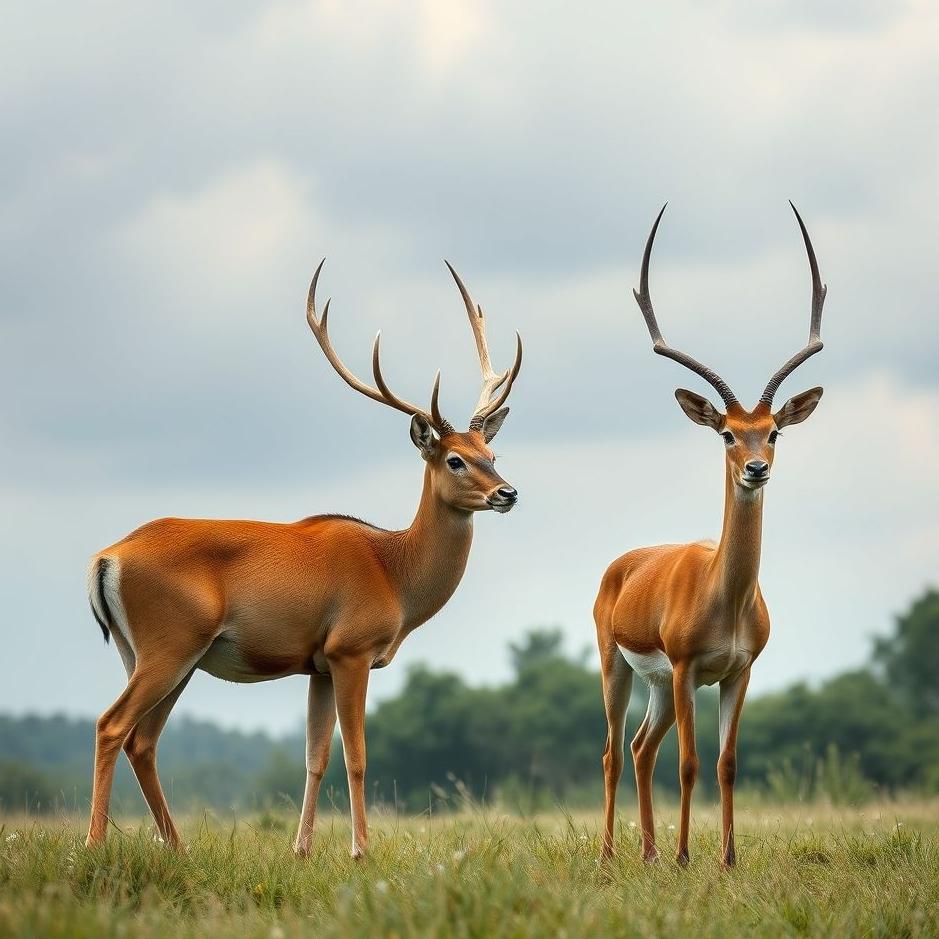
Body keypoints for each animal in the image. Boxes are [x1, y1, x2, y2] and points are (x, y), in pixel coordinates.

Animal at [85, 260, 522, 858]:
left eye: (491, 453)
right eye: (455, 459)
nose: (508, 493)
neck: (394, 572)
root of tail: (107, 558)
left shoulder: (316, 662)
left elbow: (315, 757)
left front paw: (302, 849)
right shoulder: (351, 648)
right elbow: (356, 757)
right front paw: (360, 850)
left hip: (156, 655)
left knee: (142, 740)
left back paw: (176, 846)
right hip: (169, 642)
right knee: (112, 725)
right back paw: (94, 843)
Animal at [595, 203, 826, 867]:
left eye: (773, 430)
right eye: (726, 432)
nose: (756, 468)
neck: (724, 598)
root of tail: (624, 564)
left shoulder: (736, 673)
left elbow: (725, 764)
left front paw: (725, 858)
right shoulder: (687, 668)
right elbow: (691, 765)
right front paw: (685, 858)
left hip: (658, 688)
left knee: (642, 750)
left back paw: (647, 853)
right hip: (622, 670)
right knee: (616, 753)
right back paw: (615, 855)